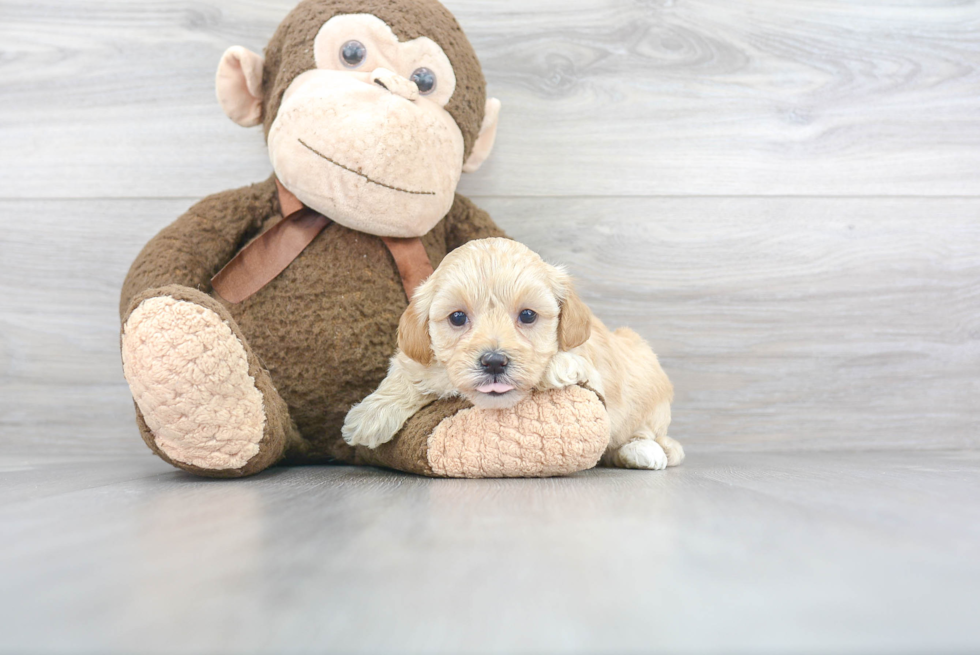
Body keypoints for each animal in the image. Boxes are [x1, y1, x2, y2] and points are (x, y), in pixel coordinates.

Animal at [340, 238, 684, 468]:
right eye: (457, 317)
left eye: (528, 315)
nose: (494, 362)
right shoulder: (424, 357)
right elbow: (410, 371)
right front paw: (369, 415)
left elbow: (575, 362)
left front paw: (557, 367)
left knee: (649, 434)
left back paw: (644, 451)